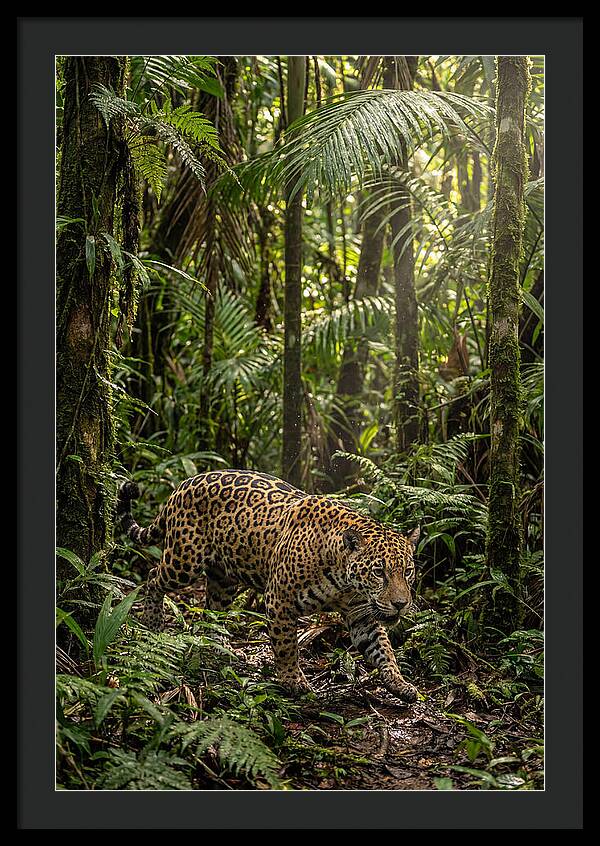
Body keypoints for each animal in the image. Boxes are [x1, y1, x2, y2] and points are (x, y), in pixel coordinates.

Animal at [117, 469, 421, 703]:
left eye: (407, 572)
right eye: (379, 572)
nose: (401, 604)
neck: (343, 579)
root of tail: (183, 484)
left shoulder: (361, 615)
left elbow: (383, 649)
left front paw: (400, 684)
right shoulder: (280, 601)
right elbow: (286, 646)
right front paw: (293, 682)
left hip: (223, 579)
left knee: (212, 609)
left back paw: (218, 645)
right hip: (183, 561)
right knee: (153, 577)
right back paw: (153, 621)